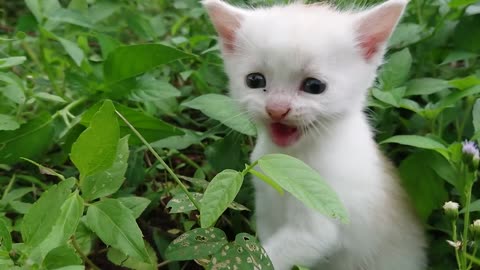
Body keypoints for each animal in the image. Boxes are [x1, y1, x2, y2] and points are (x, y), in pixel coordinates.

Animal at [202, 0, 428, 270]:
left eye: (314, 86)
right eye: (254, 80)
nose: (276, 109)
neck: (292, 157)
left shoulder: (321, 216)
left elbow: (272, 258)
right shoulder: (266, 204)